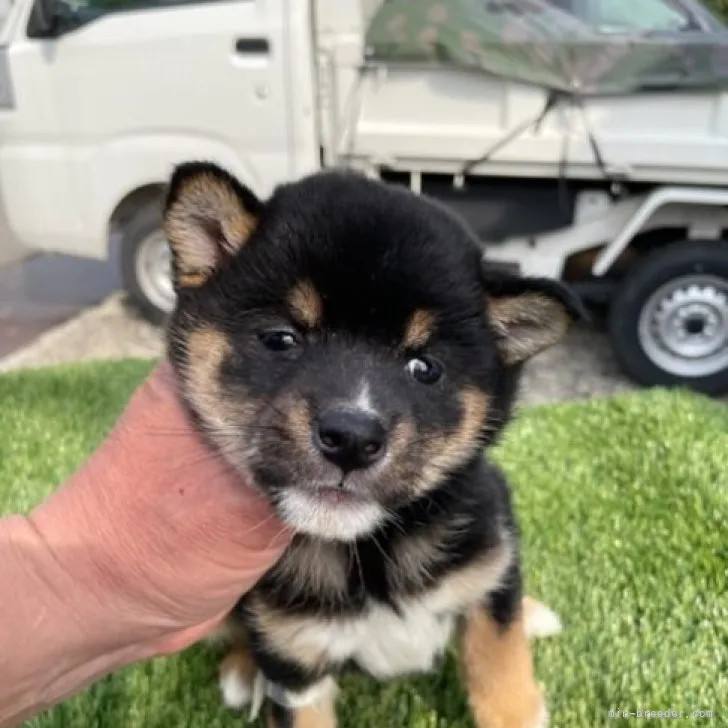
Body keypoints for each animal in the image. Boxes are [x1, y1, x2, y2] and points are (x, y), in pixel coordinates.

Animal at [162, 165, 584, 728]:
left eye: (425, 367)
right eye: (280, 338)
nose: (352, 439)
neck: (369, 552)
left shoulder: (489, 553)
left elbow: (500, 664)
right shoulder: (295, 669)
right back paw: (242, 669)